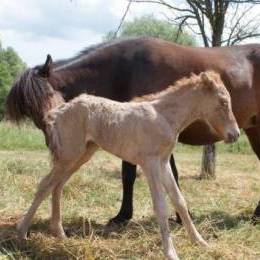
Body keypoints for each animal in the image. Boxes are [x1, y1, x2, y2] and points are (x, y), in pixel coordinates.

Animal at [16, 71, 240, 260]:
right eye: (222, 102)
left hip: (80, 155)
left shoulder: (163, 163)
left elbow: (179, 201)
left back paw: (60, 234)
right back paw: (22, 233)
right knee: (45, 185)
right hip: (69, 155)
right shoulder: (150, 163)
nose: (235, 134)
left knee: (58, 186)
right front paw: (170, 253)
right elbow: (161, 206)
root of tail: (59, 110)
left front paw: (200, 242)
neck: (164, 117)